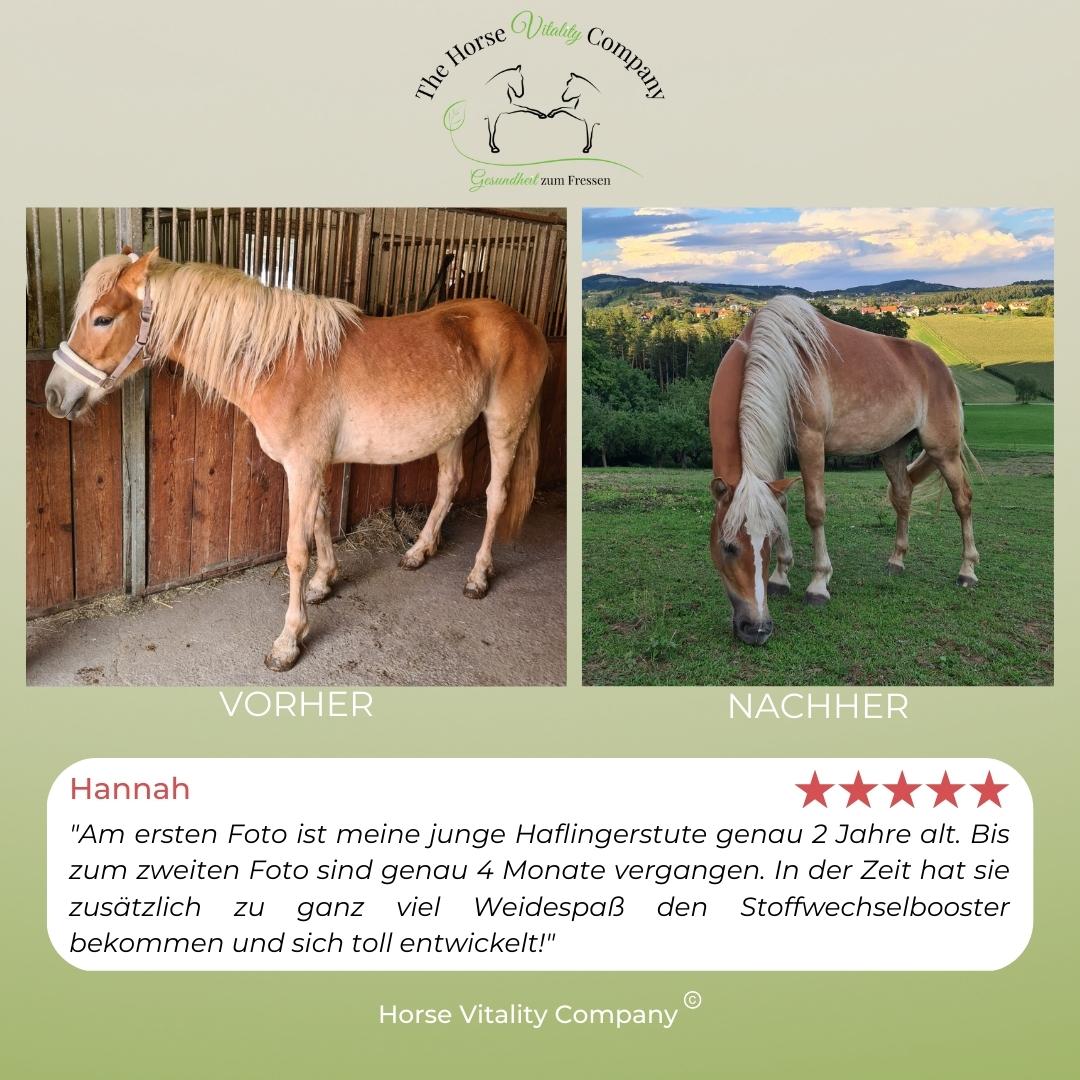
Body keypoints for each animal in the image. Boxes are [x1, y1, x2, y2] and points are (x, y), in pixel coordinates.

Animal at [44, 248, 550, 671]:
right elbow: (323, 519)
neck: (281, 362)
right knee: (448, 484)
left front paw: (289, 641)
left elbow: (295, 552)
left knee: (496, 494)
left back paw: (478, 576)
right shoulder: (315, 465)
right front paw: (324, 583)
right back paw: (419, 551)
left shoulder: (302, 467)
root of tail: (525, 324)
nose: (53, 395)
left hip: (503, 425)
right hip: (451, 429)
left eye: (103, 318)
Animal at [708, 295, 978, 645]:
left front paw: (818, 585)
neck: (783, 360)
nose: (757, 629)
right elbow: (781, 506)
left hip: (943, 451)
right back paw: (896, 561)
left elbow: (815, 511)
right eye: (727, 546)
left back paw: (967, 571)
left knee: (963, 501)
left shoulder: (811, 442)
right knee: (903, 496)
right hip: (893, 449)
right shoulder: (779, 448)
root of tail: (939, 365)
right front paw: (781, 577)